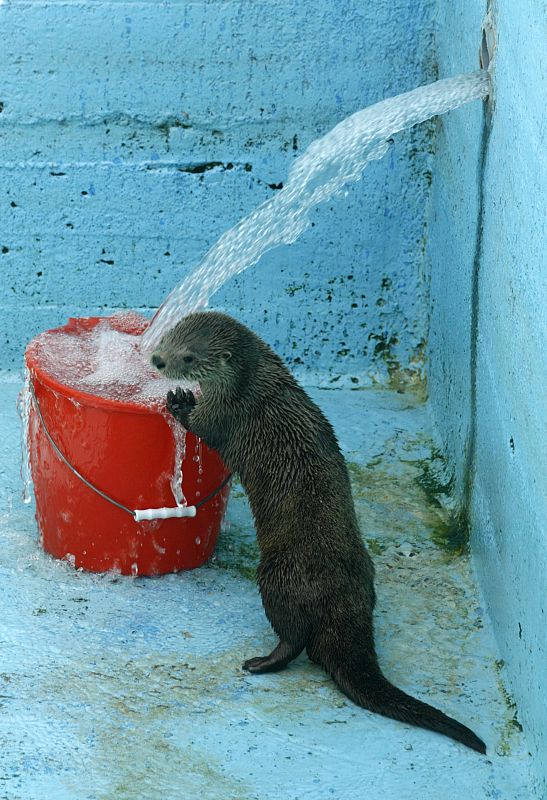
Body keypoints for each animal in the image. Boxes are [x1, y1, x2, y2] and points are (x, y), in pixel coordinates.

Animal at [152, 312, 486, 756]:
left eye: (188, 356)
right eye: (169, 337)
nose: (157, 359)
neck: (254, 384)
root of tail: (343, 605)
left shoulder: (226, 413)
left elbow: (202, 425)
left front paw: (179, 400)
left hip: (277, 575)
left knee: (295, 638)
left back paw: (260, 663)